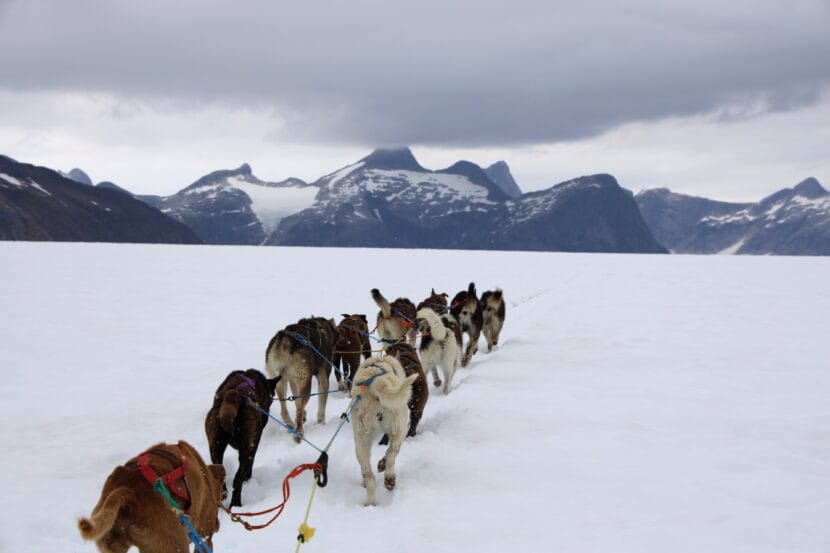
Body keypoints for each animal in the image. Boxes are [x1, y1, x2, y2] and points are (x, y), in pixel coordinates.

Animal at [352, 354, 420, 504]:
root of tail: (376, 382)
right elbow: (393, 452)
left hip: (361, 438)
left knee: (369, 474)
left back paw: (370, 502)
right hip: (399, 427)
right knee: (390, 453)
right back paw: (389, 478)